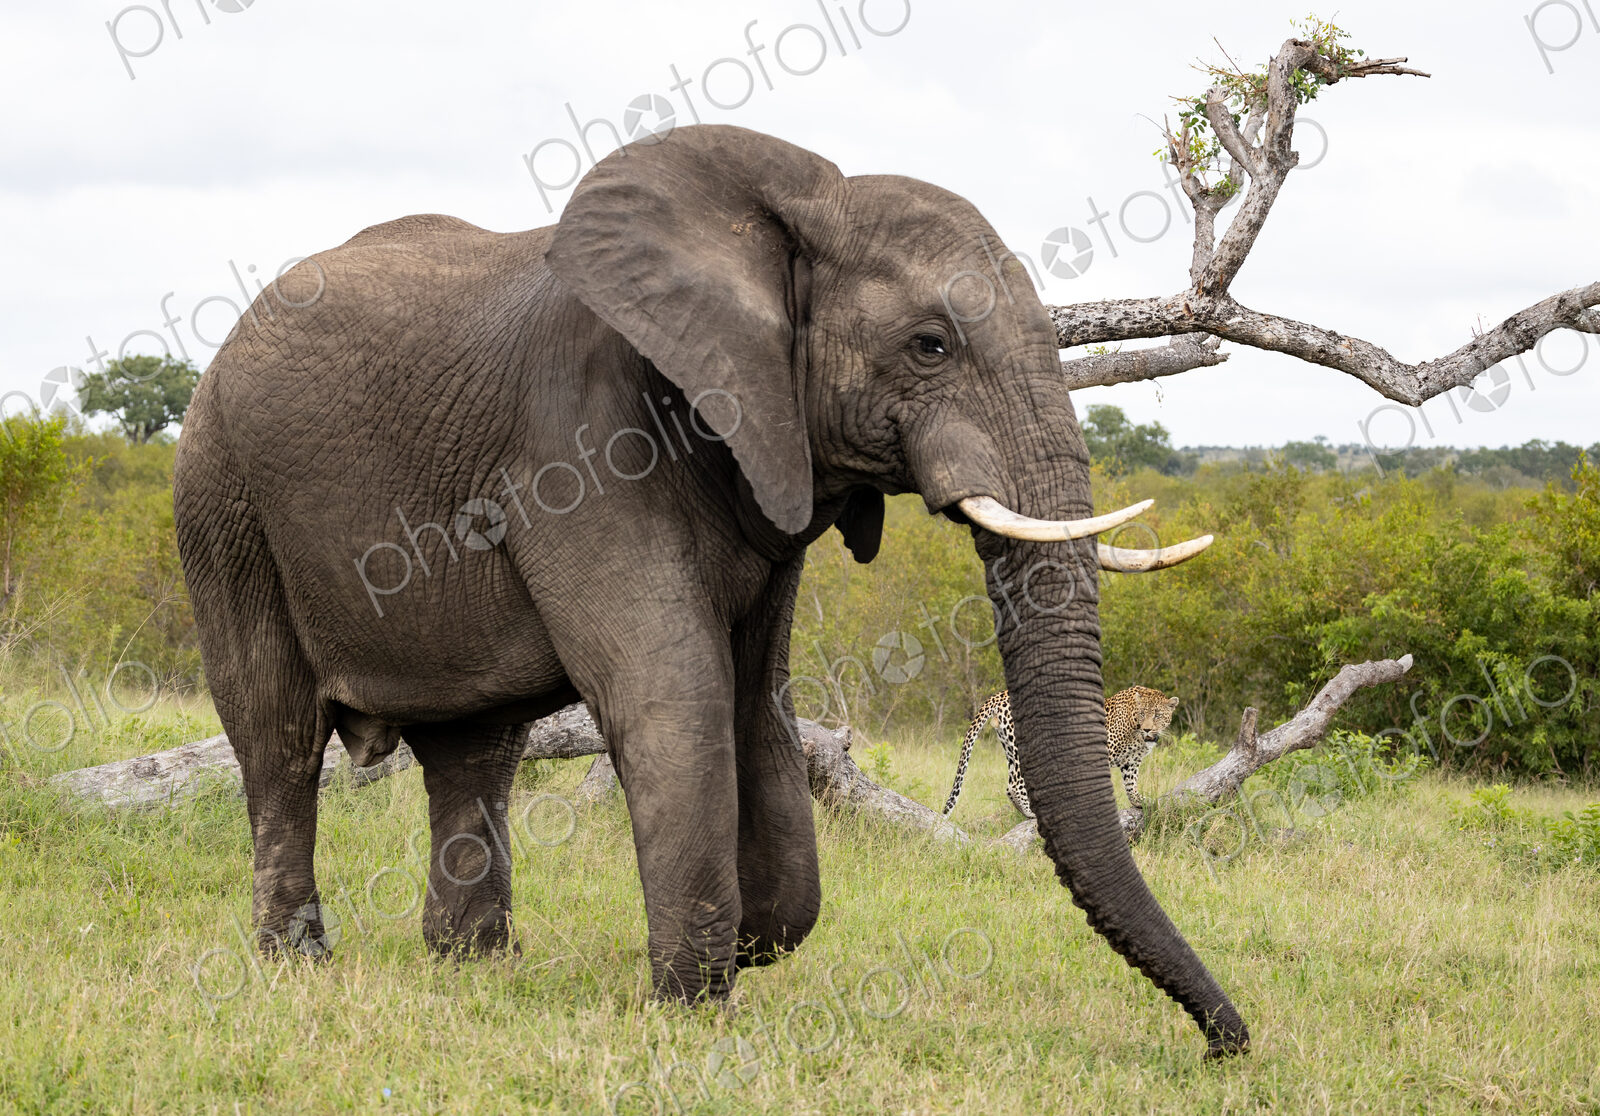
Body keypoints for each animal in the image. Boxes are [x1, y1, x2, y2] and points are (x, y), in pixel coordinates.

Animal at [942, 685, 1180, 819]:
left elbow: (1131, 784)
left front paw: (1138, 802)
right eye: (1142, 713)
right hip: (1022, 747)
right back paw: (1030, 813)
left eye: (1157, 715)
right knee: (1014, 785)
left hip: (1009, 746)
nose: (1148, 729)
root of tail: (1000, 695)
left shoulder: (1131, 762)